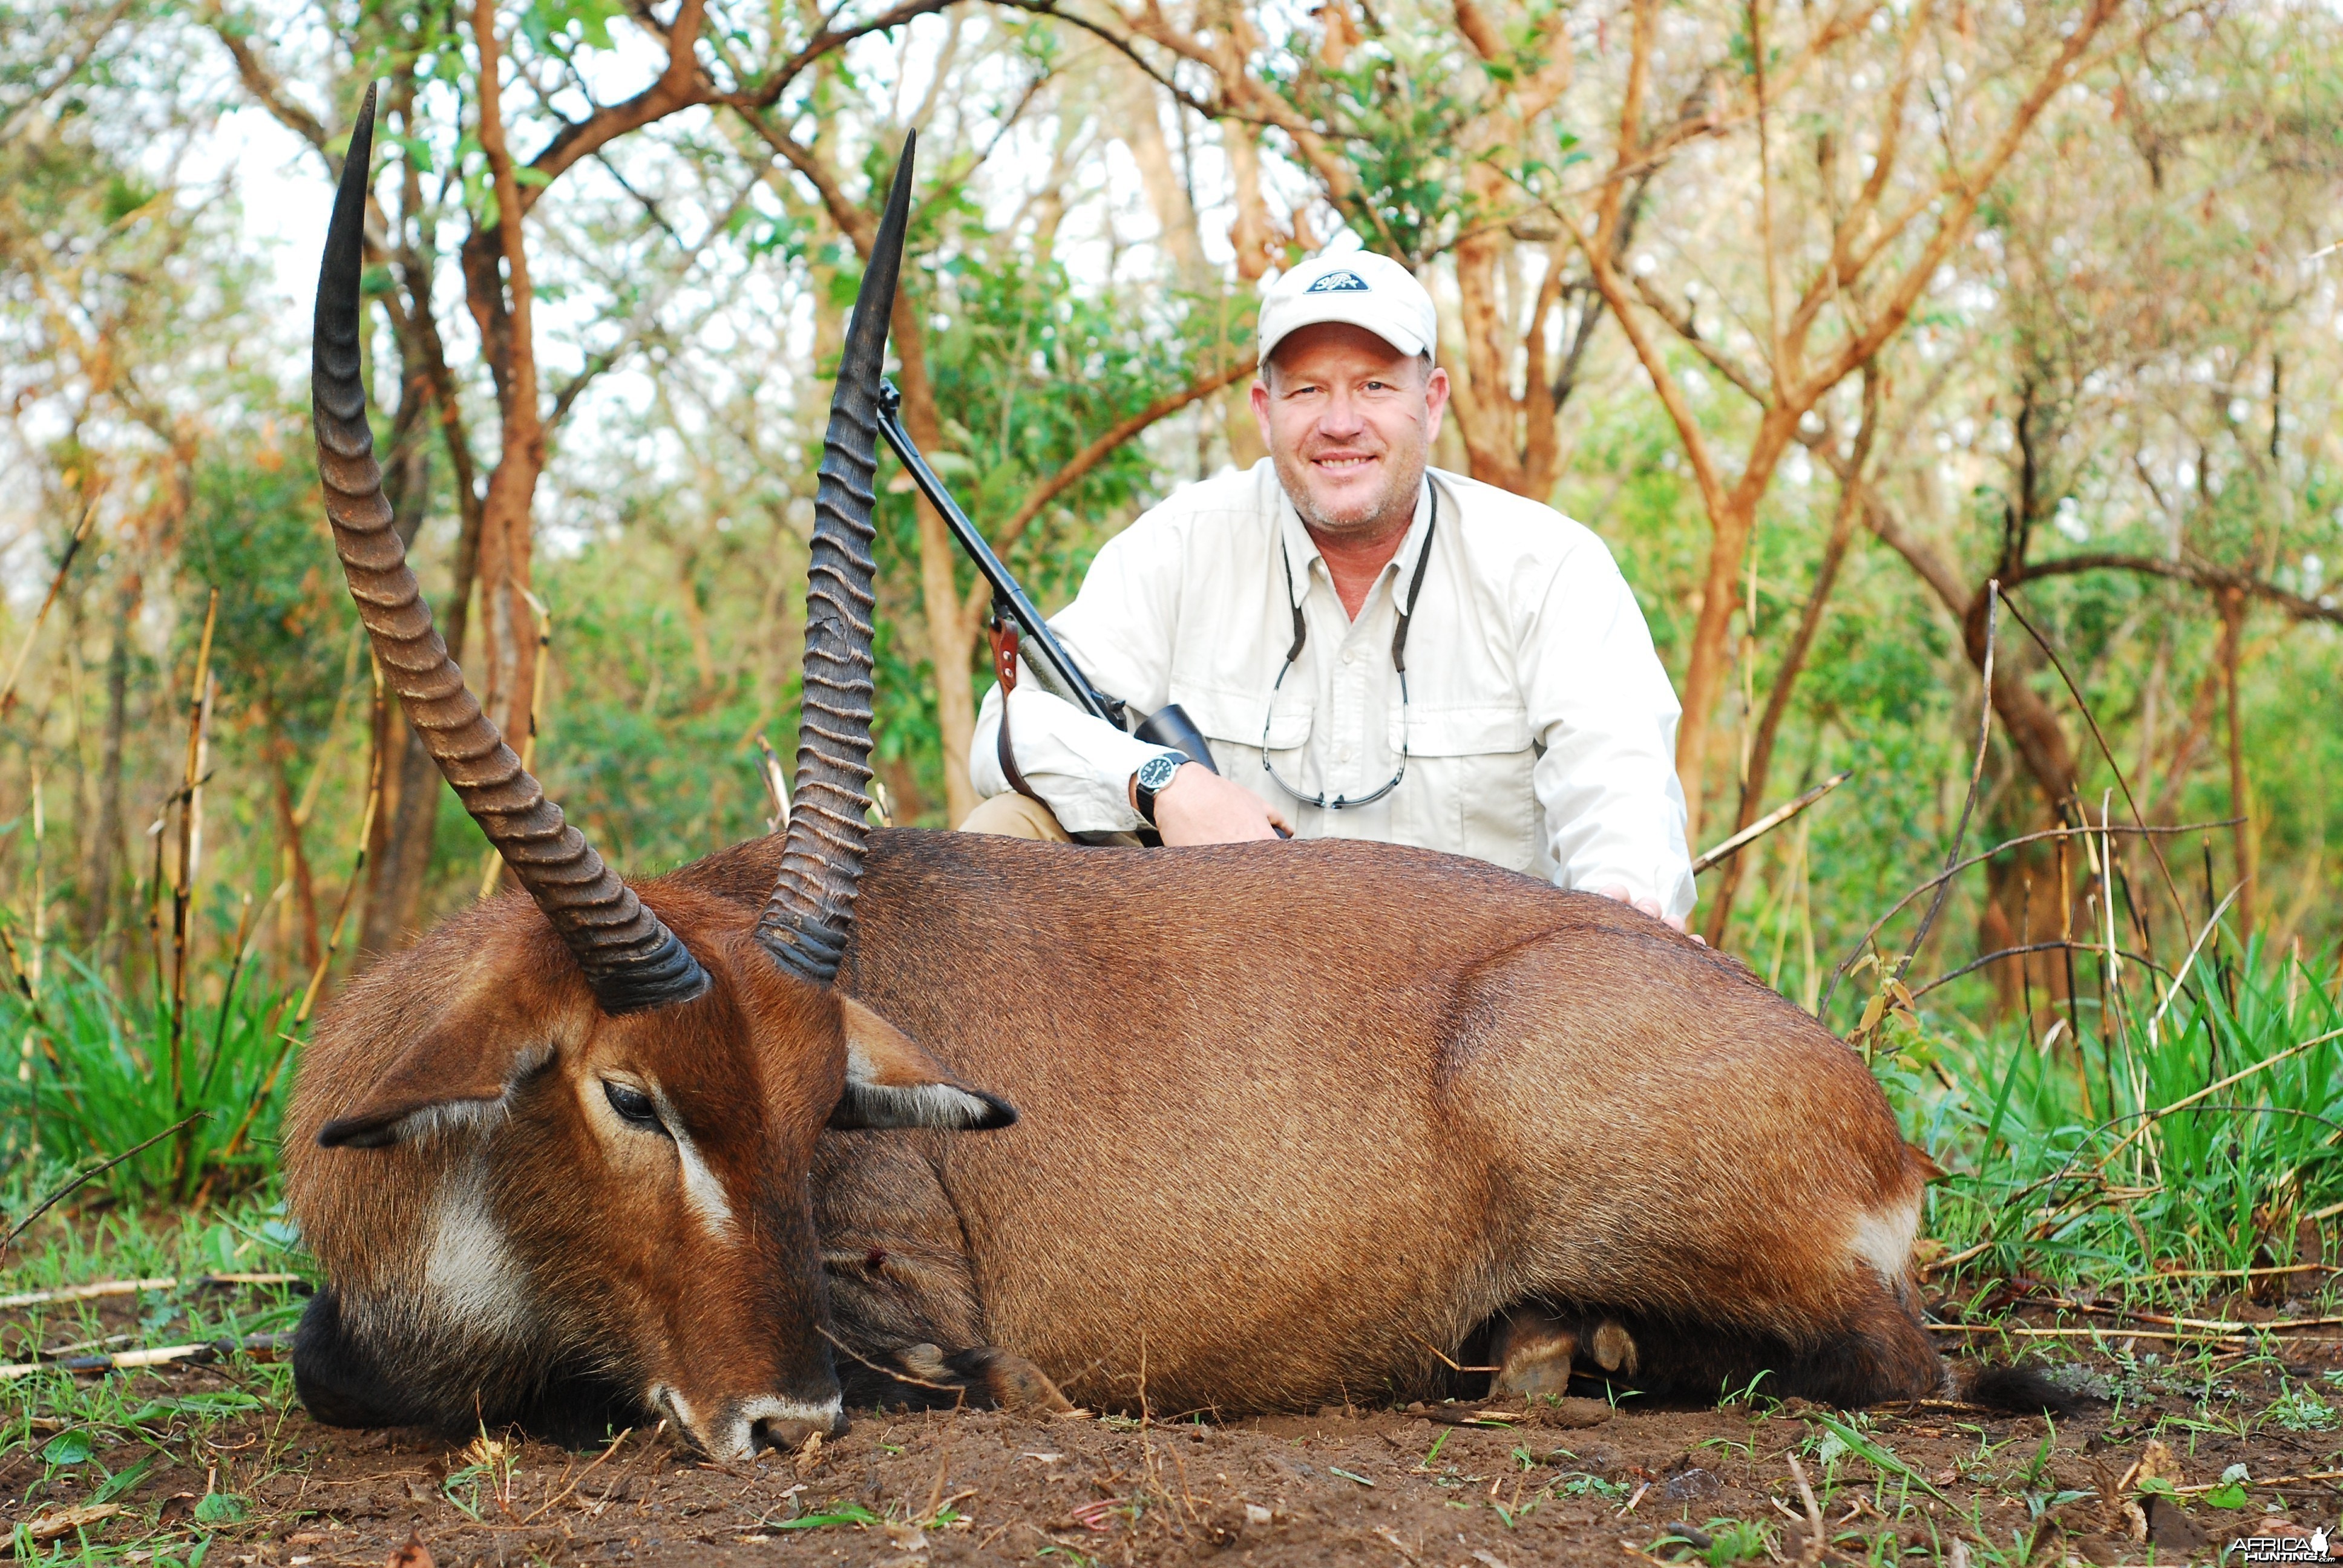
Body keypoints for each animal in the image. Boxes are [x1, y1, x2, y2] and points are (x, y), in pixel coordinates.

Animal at [288, 97, 2052, 1462]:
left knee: (1894, 1363)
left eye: (812, 1103)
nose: (787, 1419)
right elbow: (328, 1364)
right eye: (632, 1095)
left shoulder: (926, 1293)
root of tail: (1871, 1118)